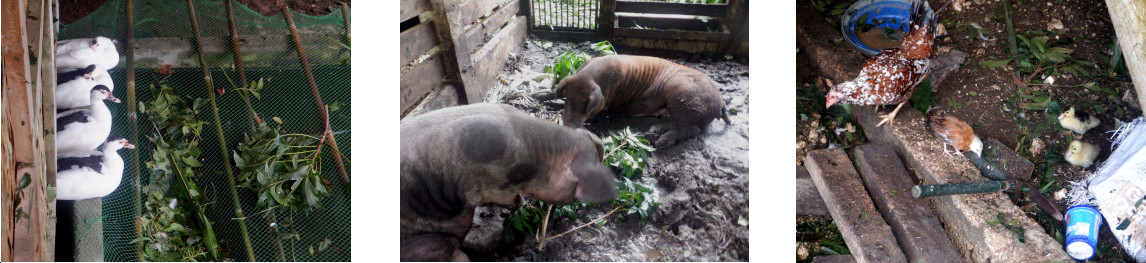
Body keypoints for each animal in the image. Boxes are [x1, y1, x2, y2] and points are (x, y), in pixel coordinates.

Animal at [552, 54, 728, 147]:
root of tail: (720, 102)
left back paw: (661, 141)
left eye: (586, 104)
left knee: (693, 129)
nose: (568, 125)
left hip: (680, 94)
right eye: (568, 99)